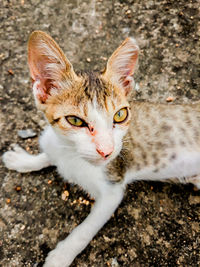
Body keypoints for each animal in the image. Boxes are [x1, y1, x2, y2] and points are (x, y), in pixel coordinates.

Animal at [2, 30, 200, 266]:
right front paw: (23, 160)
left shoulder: (112, 189)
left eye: (120, 115)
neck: (71, 156)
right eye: (75, 120)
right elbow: (47, 154)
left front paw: (61, 256)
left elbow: (85, 230)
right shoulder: (55, 145)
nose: (107, 151)